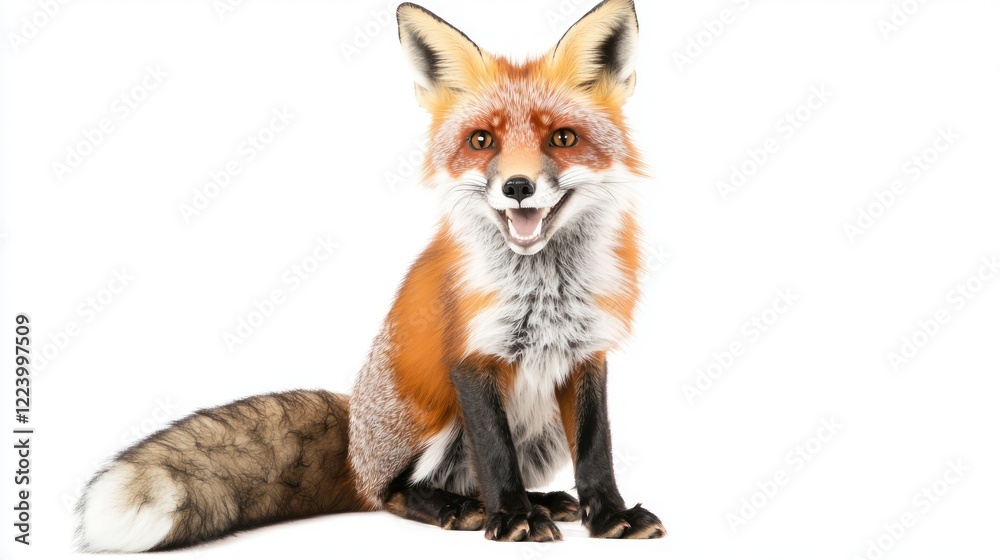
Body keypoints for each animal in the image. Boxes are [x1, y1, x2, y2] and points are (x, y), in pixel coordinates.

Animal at [76, 0, 665, 551]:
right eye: (482, 141)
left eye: (562, 138)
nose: (517, 187)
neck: (543, 287)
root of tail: (356, 436)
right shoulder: (469, 354)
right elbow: (495, 454)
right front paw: (514, 519)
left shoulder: (587, 350)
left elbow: (596, 447)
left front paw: (608, 515)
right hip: (431, 422)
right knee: (395, 492)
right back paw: (460, 507)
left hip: (540, 433)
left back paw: (539, 500)